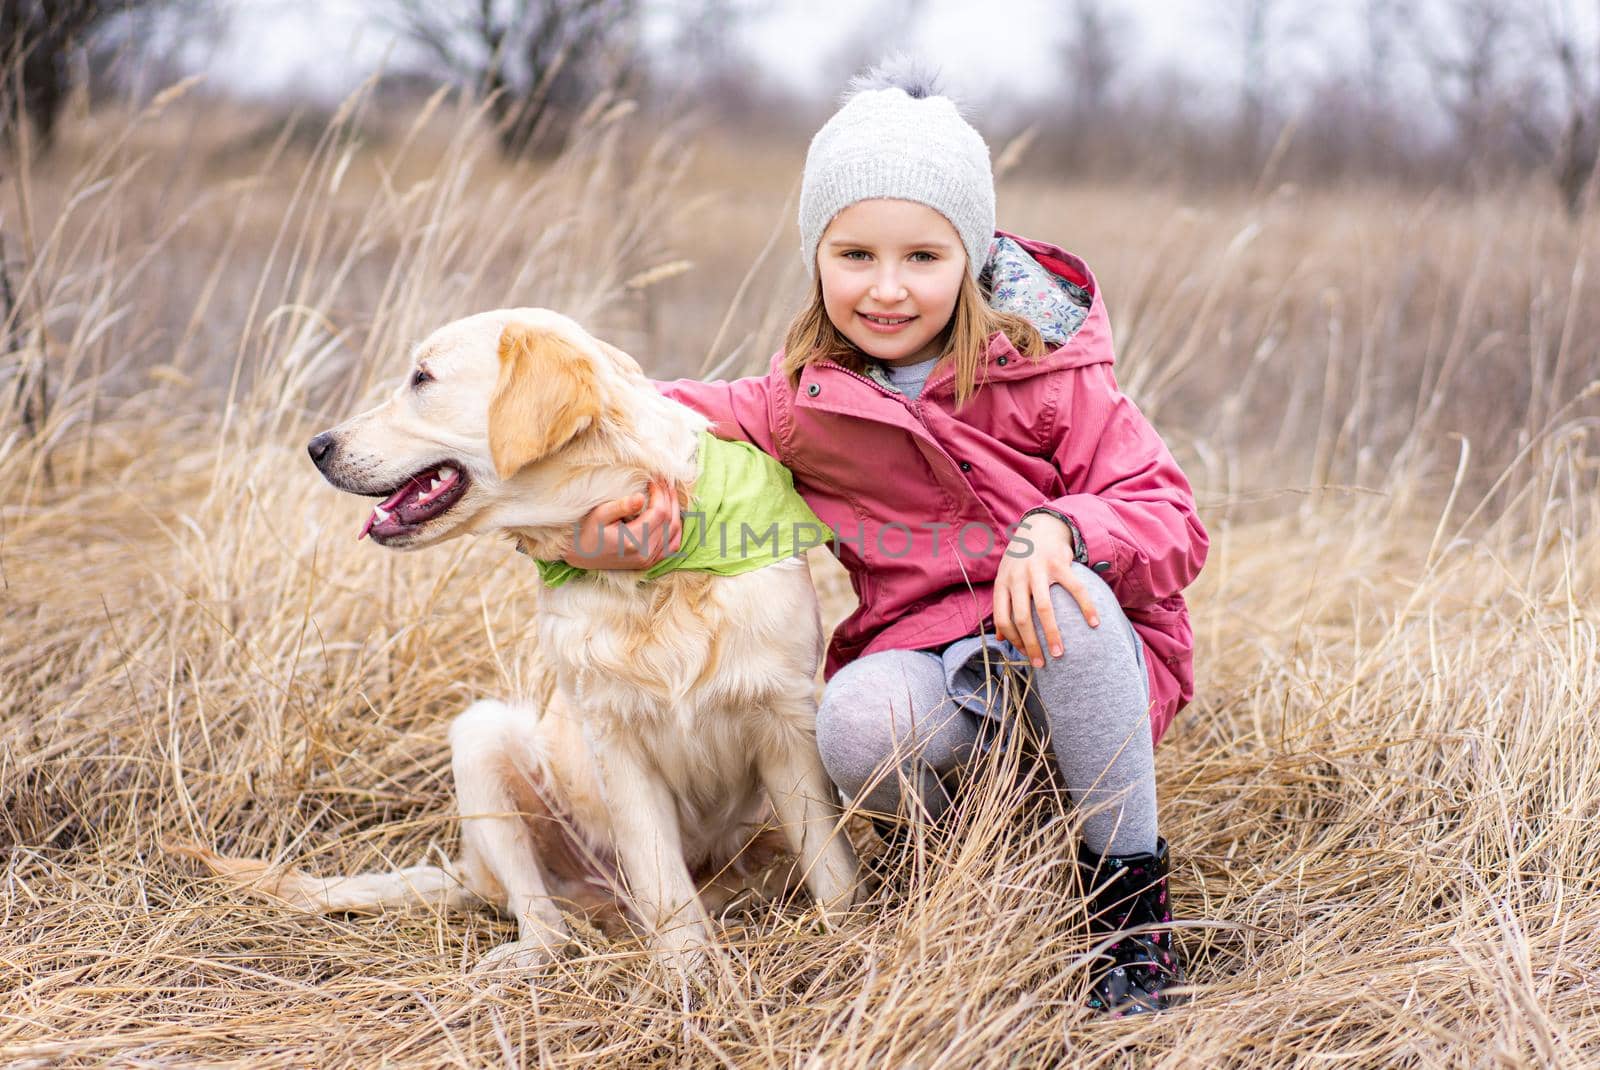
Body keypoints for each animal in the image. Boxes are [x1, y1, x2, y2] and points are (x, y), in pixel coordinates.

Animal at [184, 307, 864, 966]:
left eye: (422, 378)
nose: (316, 446)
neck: (652, 576)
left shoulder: (788, 722)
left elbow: (831, 866)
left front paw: (846, 939)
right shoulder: (615, 743)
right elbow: (665, 885)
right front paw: (687, 978)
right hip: (482, 737)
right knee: (545, 924)